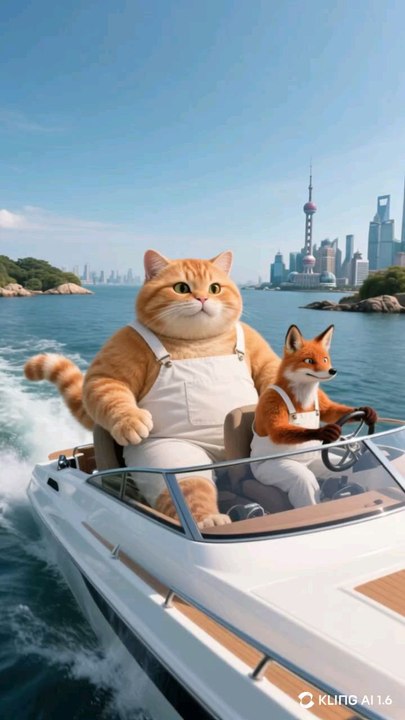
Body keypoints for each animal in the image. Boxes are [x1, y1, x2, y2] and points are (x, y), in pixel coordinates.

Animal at [250, 324, 378, 508]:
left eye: (325, 359)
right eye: (309, 361)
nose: (332, 370)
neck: (303, 400)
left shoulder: (323, 402)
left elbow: (333, 411)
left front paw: (367, 412)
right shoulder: (271, 403)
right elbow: (278, 430)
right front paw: (323, 432)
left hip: (331, 461)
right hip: (275, 472)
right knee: (306, 484)